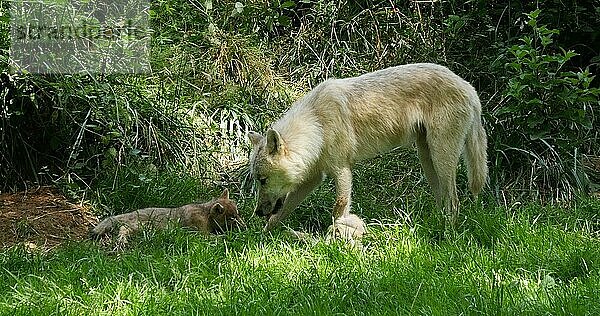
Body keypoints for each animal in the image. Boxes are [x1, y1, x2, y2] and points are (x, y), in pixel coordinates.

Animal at [248, 63, 488, 232]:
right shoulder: (314, 178)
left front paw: (335, 240)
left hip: (441, 159)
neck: (317, 125)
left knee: (454, 201)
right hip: (427, 161)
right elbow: (281, 213)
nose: (258, 212)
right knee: (444, 201)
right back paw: (438, 226)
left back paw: (448, 234)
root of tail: (469, 88)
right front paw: (263, 236)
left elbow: (339, 208)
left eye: (262, 180)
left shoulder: (342, 170)